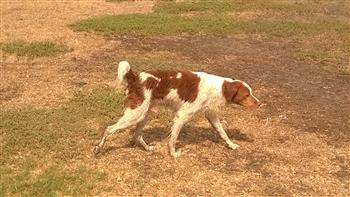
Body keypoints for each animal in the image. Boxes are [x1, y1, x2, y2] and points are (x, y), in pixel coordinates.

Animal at [93, 60, 260, 158]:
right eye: (247, 95)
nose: (259, 103)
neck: (219, 87)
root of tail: (135, 77)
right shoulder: (182, 115)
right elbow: (173, 139)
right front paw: (173, 154)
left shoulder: (210, 114)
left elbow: (223, 133)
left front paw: (231, 145)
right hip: (135, 114)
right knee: (109, 129)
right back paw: (98, 148)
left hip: (144, 114)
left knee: (137, 135)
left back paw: (148, 149)